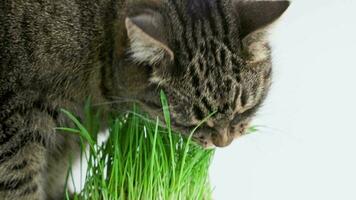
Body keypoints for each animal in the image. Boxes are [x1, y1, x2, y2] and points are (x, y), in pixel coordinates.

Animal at [0, 0, 290, 199]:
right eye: (189, 122)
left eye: (245, 109)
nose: (223, 142)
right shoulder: (16, 122)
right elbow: (19, 182)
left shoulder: (74, 132)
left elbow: (56, 170)